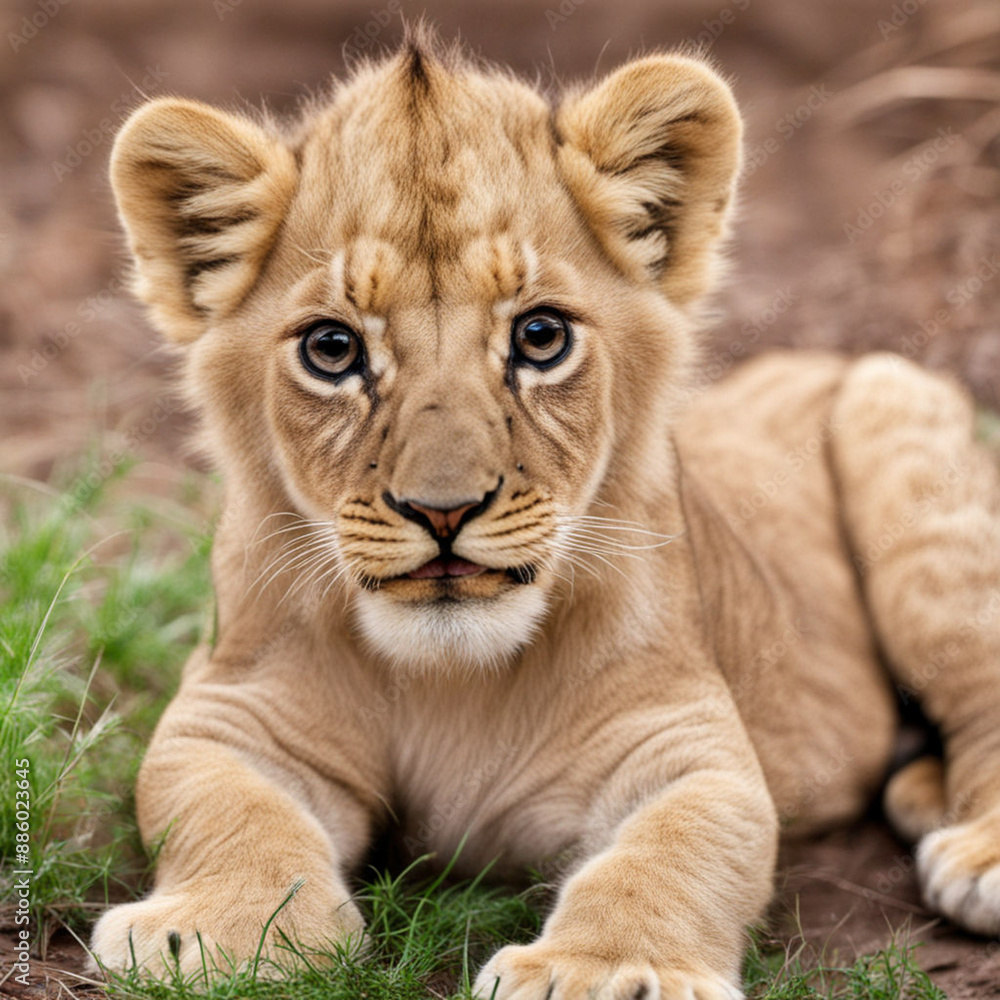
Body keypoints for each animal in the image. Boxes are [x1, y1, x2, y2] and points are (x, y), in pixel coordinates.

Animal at [90, 35, 1000, 1000]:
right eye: (332, 349)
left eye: (540, 337)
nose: (443, 510)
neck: (450, 681)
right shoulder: (230, 706)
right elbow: (218, 801)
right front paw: (210, 931)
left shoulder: (683, 738)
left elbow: (678, 846)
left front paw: (605, 971)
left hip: (896, 431)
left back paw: (976, 854)